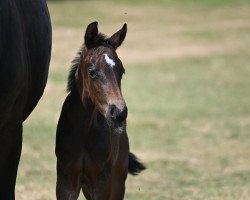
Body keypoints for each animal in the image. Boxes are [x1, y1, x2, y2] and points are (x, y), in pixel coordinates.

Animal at [55, 21, 145, 199]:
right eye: (92, 72)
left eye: (122, 71)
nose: (119, 113)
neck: (83, 131)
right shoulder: (65, 181)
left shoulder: (102, 182)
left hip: (118, 182)